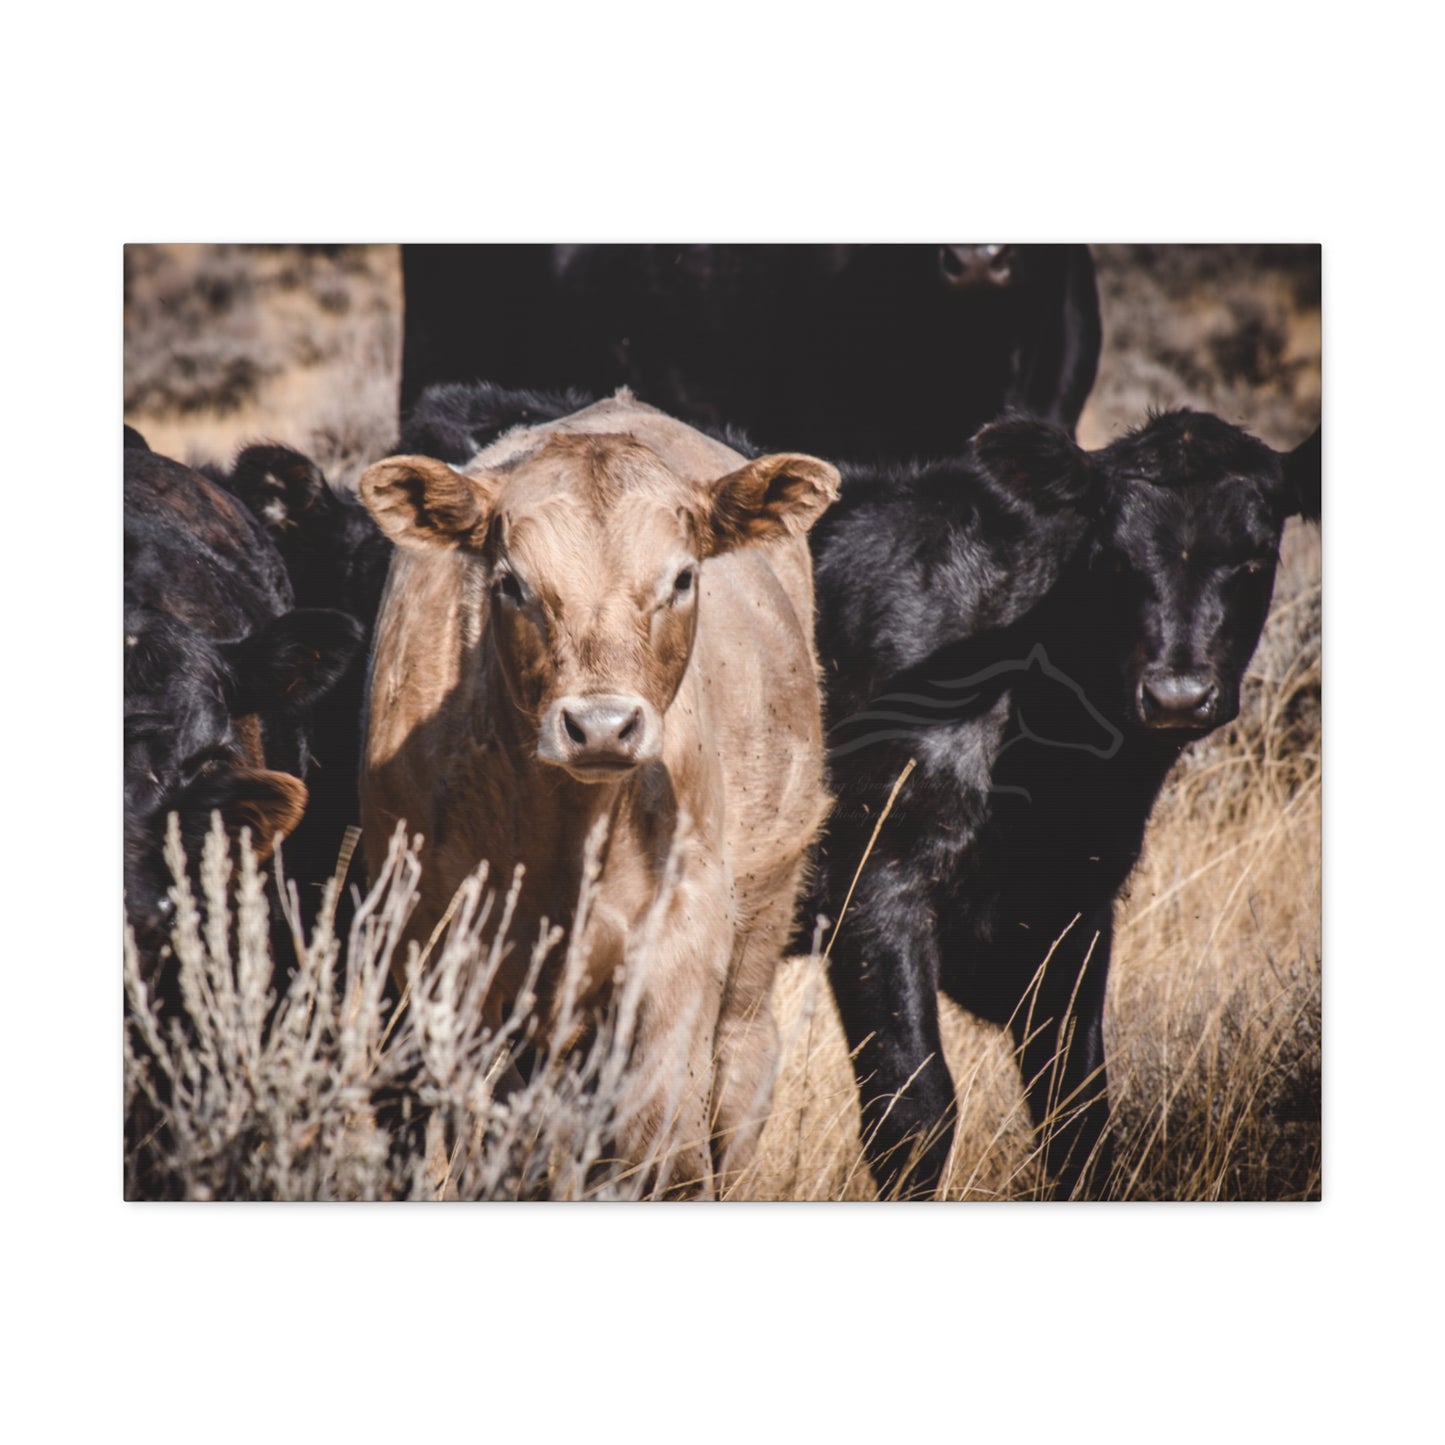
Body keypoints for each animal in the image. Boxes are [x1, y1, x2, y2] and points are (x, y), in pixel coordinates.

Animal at [358, 393, 838, 1196]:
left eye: (682, 578)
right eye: (512, 582)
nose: (602, 726)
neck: (564, 839)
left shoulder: (679, 943)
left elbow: (661, 1150)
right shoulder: (442, 954)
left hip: (760, 921)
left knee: (740, 1069)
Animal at [807, 409, 1322, 1198]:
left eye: (1256, 556)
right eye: (1112, 556)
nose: (1177, 694)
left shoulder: (1075, 904)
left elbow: (1077, 1115)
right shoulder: (873, 882)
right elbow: (913, 1113)